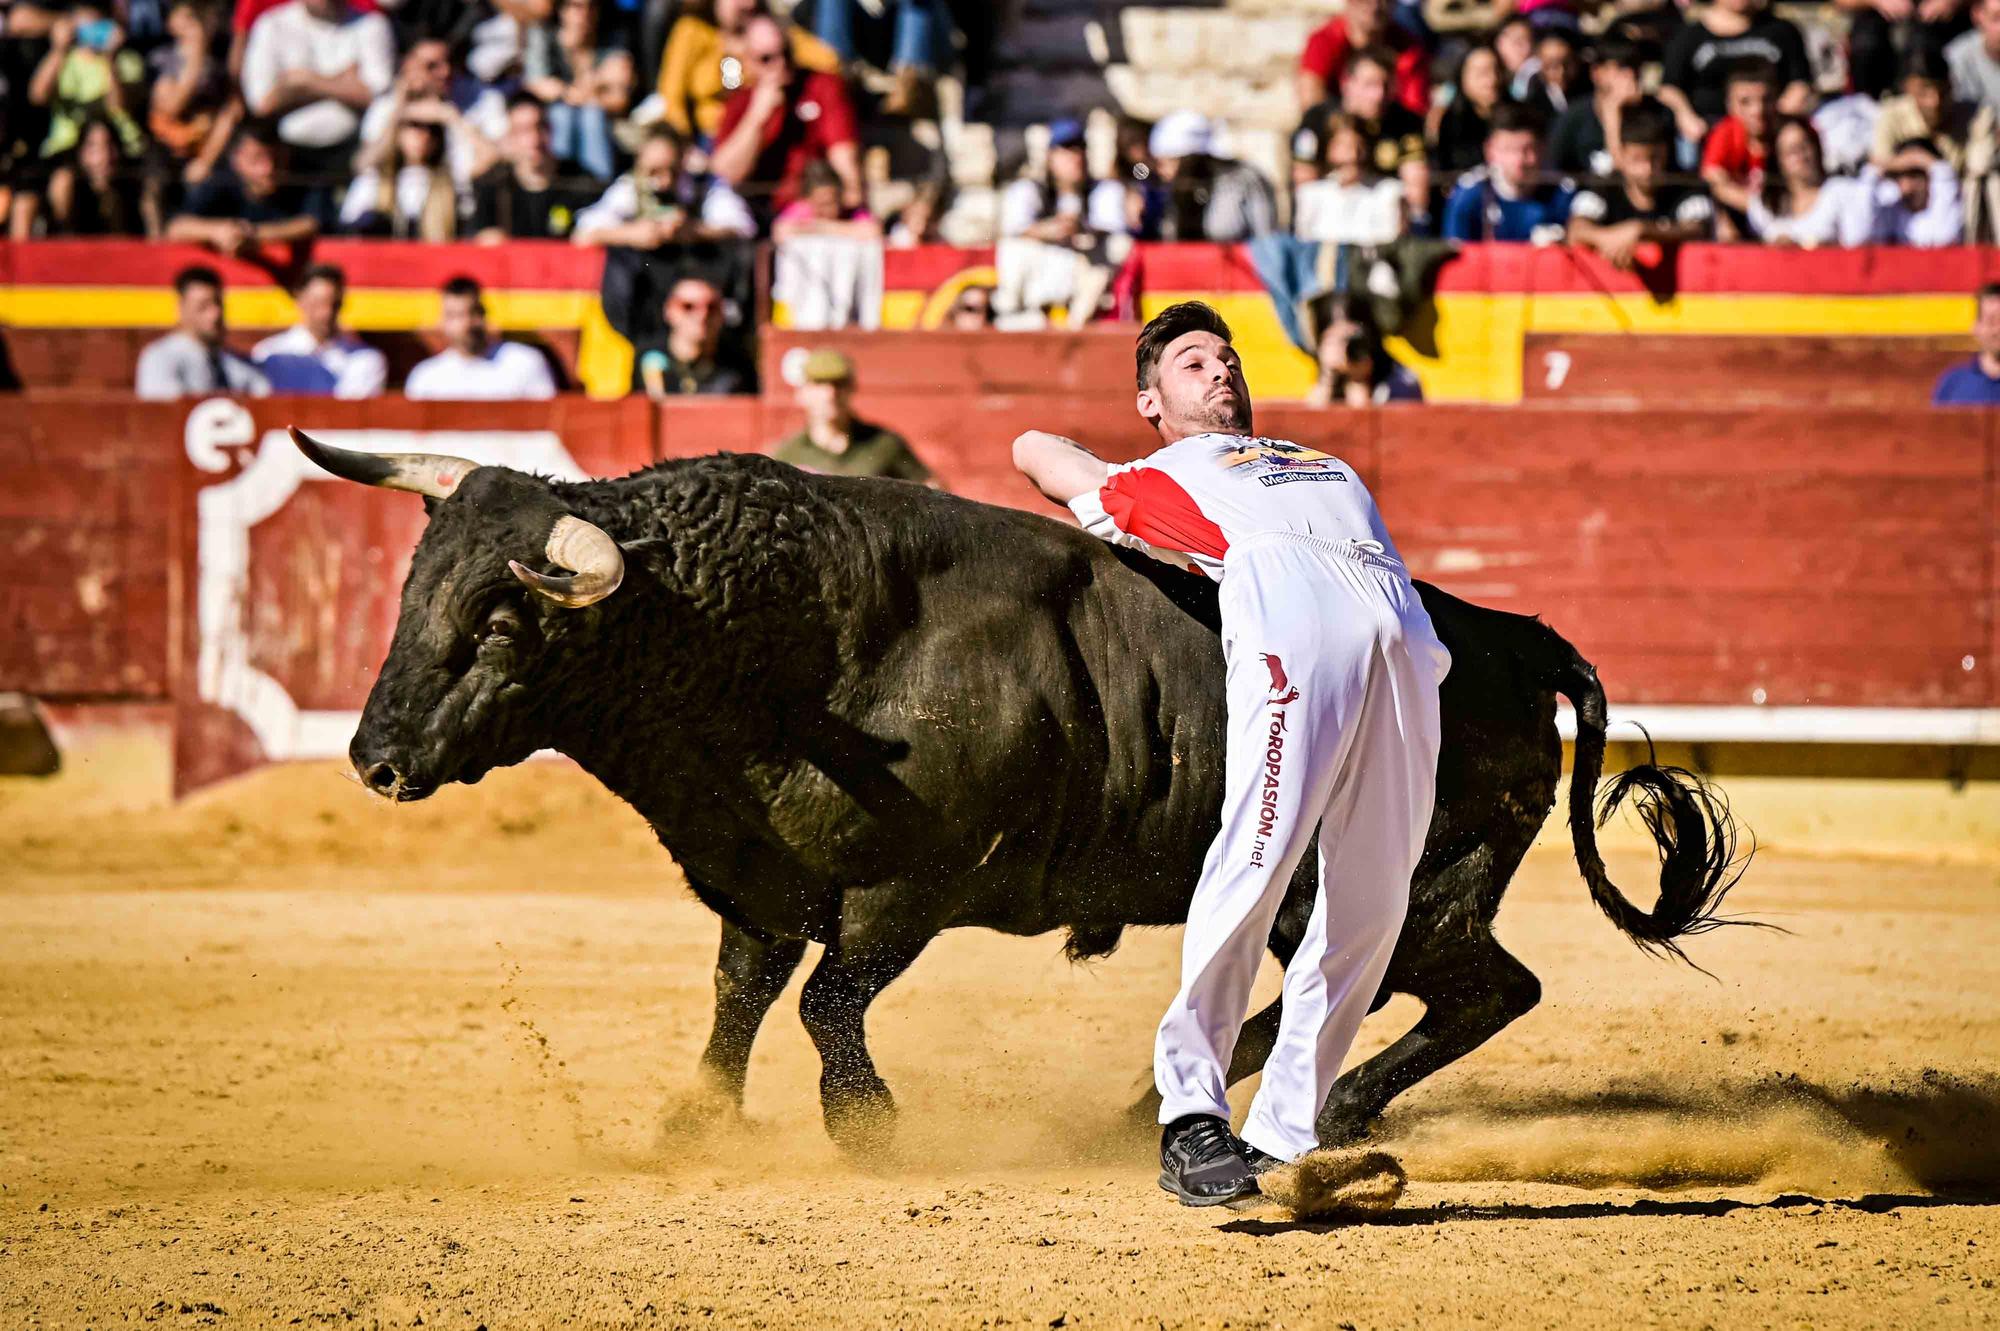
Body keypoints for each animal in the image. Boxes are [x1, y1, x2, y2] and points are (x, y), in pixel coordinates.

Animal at [300, 437, 1752, 1151]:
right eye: (412, 586)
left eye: (501, 622)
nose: (375, 758)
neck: (780, 640)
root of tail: (1507, 634)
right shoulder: (763, 878)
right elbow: (740, 998)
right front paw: (692, 1124)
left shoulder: (910, 889)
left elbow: (825, 1004)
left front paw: (870, 1129)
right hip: (1335, 893)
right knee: (1360, 984)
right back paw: (1163, 1105)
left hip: (1417, 884)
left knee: (1485, 989)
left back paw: (1312, 1110)